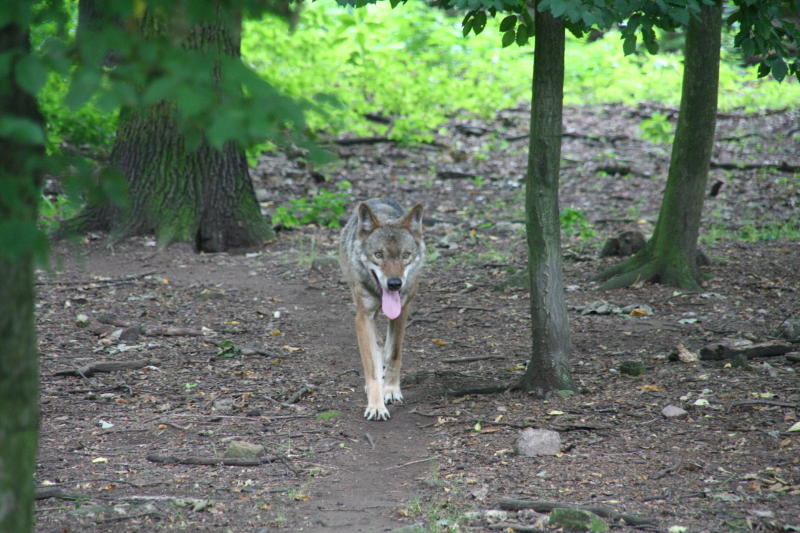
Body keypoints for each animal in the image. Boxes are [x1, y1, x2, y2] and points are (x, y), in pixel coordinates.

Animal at [338, 196, 424, 420]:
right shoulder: (363, 317)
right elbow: (371, 367)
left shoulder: (402, 311)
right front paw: (376, 406)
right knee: (376, 343)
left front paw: (391, 390)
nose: (394, 284)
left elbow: (394, 353)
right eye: (378, 254)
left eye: (405, 255)